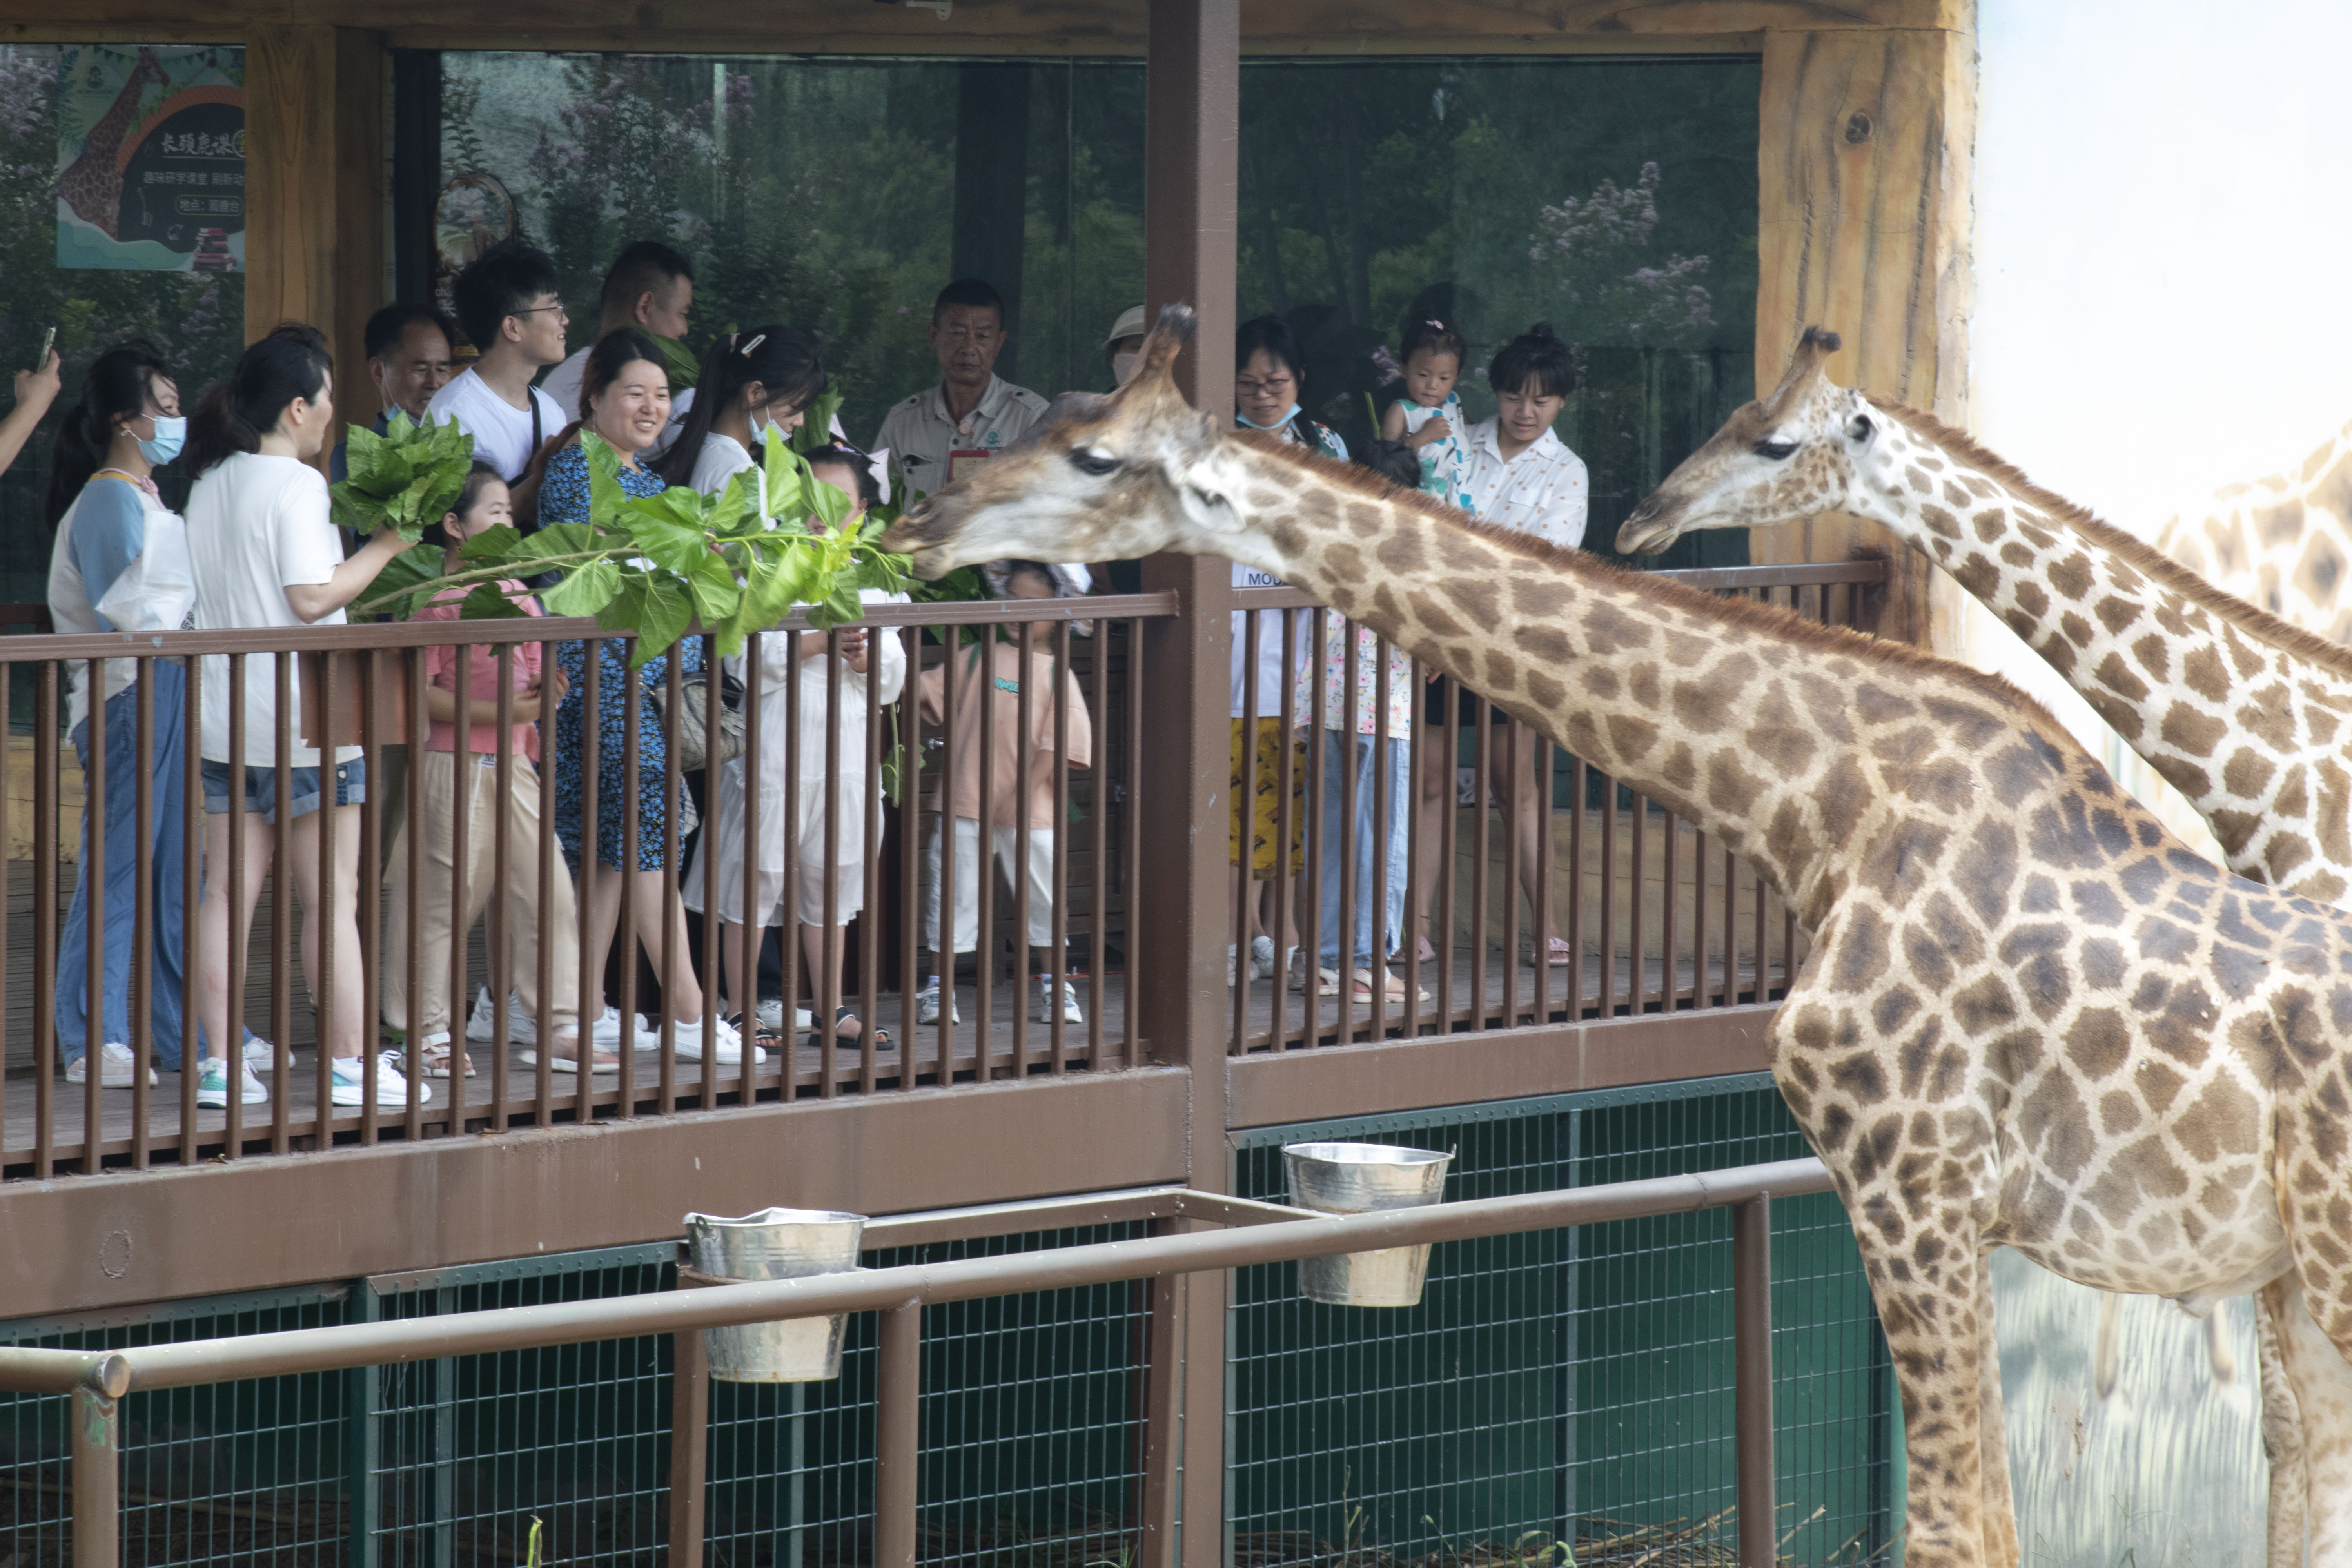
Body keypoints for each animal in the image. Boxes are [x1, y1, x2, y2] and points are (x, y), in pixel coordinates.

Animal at [59, 47, 170, 241]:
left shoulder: (115, 208)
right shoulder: (103, 210)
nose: (167, 79)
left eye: (158, 62)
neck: (110, 149)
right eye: (147, 66)